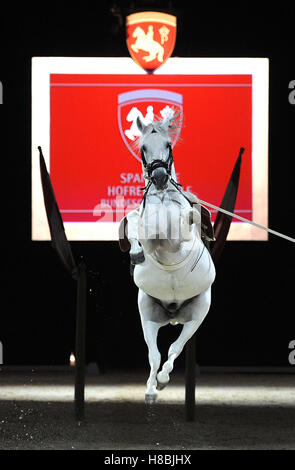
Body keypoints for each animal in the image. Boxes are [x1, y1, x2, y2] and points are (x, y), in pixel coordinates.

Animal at [119, 114, 216, 404]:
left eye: (167, 144)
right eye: (143, 148)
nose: (160, 177)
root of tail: (173, 313)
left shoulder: (180, 241)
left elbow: (181, 227)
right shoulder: (145, 228)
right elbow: (133, 222)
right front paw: (136, 252)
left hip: (197, 314)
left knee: (174, 348)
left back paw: (162, 381)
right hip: (147, 314)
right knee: (154, 355)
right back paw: (151, 390)